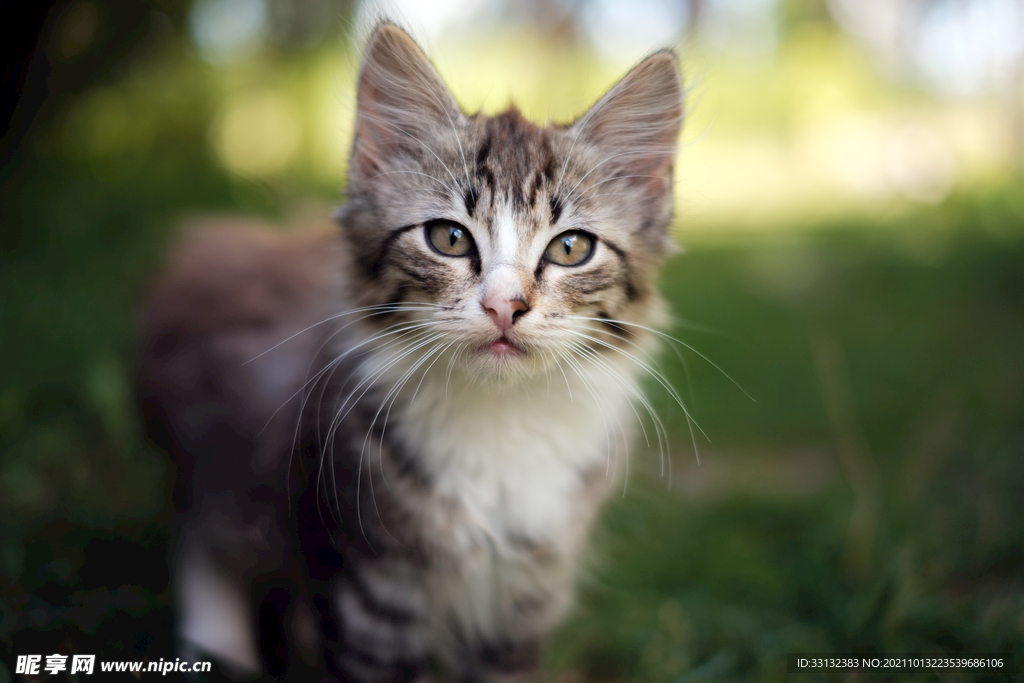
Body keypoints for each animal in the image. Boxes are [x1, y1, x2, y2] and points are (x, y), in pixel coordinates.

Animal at [136, 21, 679, 683]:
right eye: (448, 238)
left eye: (570, 248)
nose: (506, 306)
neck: (497, 427)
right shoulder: (364, 581)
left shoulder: (524, 597)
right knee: (200, 528)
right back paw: (217, 645)